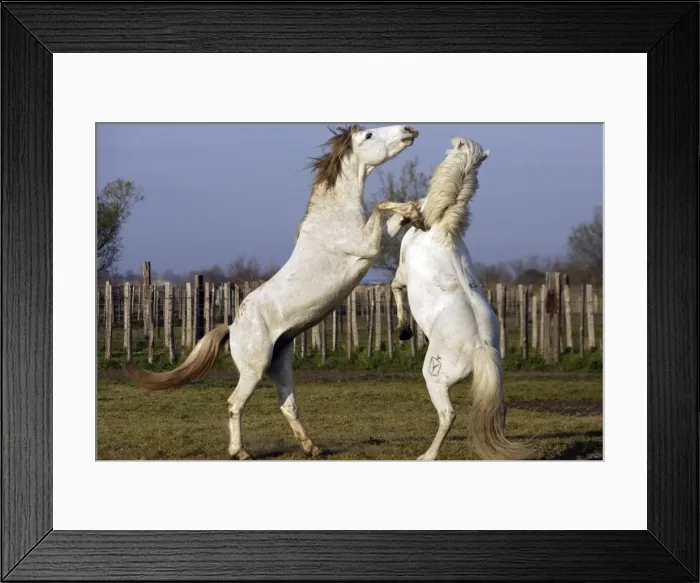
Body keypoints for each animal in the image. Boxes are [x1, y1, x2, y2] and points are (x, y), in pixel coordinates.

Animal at [126, 124, 425, 460]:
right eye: (369, 136)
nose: (409, 129)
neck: (333, 217)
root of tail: (232, 327)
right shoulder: (368, 246)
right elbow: (382, 205)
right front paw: (414, 209)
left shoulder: (377, 241)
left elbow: (395, 216)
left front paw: (417, 209)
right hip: (253, 370)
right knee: (234, 403)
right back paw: (240, 452)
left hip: (280, 365)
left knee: (288, 405)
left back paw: (312, 448)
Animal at [385, 137, 531, 461]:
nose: (393, 223)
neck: (441, 229)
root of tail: (480, 349)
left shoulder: (402, 273)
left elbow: (395, 289)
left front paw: (403, 330)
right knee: (499, 411)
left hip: (435, 378)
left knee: (448, 415)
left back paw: (427, 455)